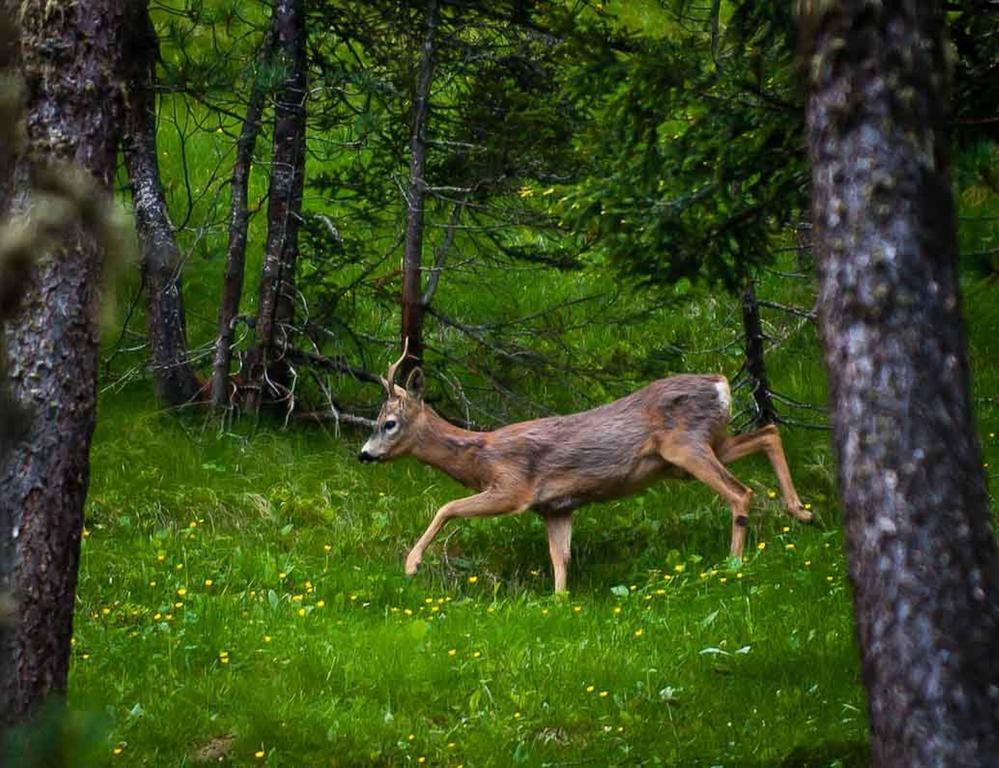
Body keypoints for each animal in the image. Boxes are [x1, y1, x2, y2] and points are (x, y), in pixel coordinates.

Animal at [360, 344, 812, 592]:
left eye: (389, 423)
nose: (364, 454)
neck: (480, 456)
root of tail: (720, 384)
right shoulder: (556, 507)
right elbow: (560, 560)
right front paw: (559, 601)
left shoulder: (513, 487)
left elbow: (447, 507)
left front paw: (411, 564)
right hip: (705, 445)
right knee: (768, 432)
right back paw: (801, 511)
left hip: (685, 447)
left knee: (740, 491)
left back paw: (733, 564)